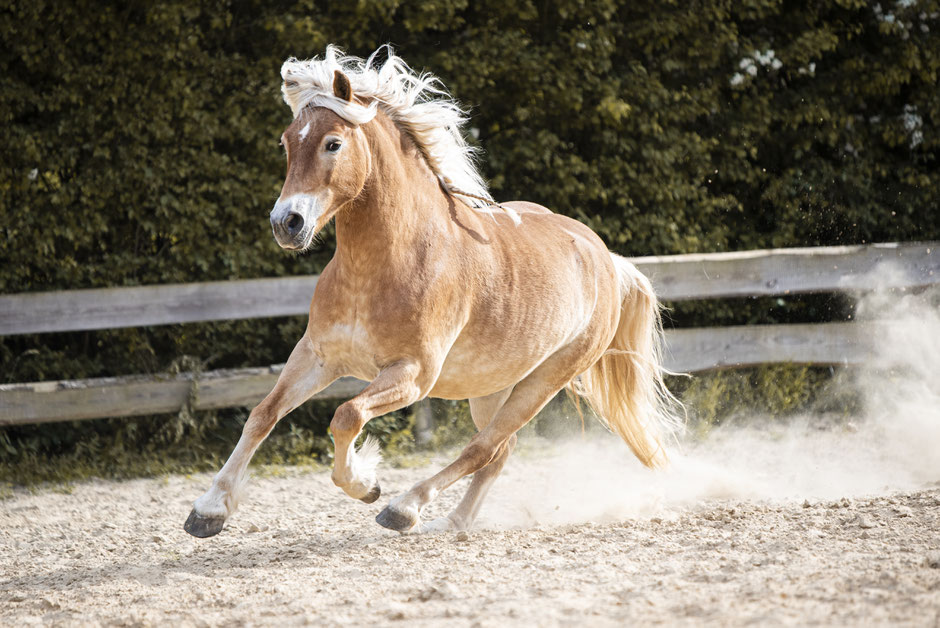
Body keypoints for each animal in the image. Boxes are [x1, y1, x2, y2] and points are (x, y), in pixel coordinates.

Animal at [184, 44, 680, 536]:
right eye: (286, 143)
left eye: (333, 143)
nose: (286, 223)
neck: (380, 267)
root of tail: (607, 258)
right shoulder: (317, 355)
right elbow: (262, 414)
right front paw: (208, 510)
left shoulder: (413, 375)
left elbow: (346, 415)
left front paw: (366, 484)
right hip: (491, 386)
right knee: (498, 452)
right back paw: (452, 521)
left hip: (544, 381)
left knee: (483, 448)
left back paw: (404, 508)